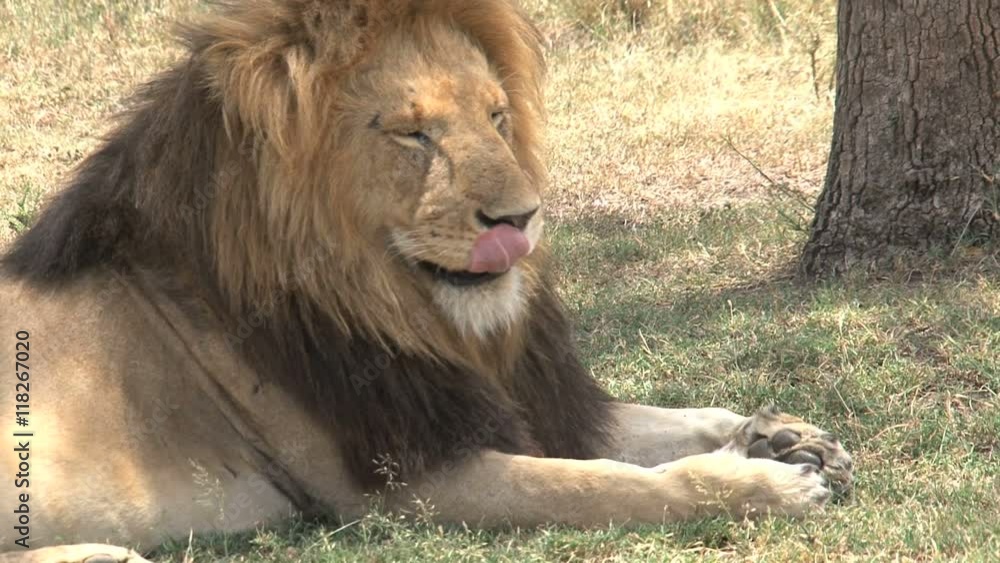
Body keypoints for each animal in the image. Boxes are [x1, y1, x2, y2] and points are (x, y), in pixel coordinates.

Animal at [0, 1, 852, 561]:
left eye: (498, 117)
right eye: (413, 134)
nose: (522, 217)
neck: (406, 311)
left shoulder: (491, 402)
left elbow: (661, 422)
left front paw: (784, 435)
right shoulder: (399, 488)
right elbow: (603, 484)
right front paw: (766, 484)